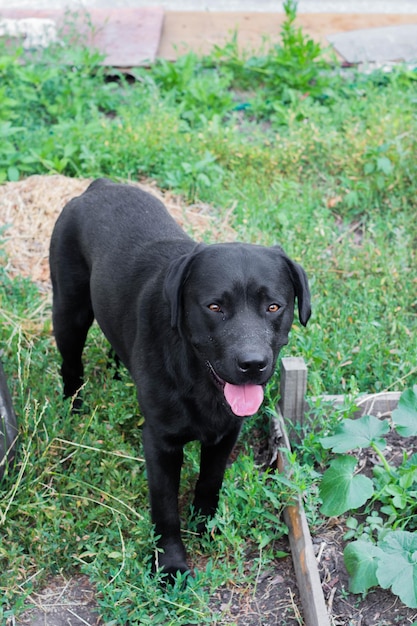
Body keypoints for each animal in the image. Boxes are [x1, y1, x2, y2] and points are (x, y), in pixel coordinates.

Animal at [48, 178, 308, 576]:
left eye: (274, 306)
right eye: (215, 307)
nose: (252, 364)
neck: (197, 380)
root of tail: (99, 185)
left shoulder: (226, 434)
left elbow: (210, 481)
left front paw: (206, 525)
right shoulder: (161, 443)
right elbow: (165, 507)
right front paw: (170, 565)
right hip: (69, 310)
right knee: (71, 365)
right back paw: (73, 411)